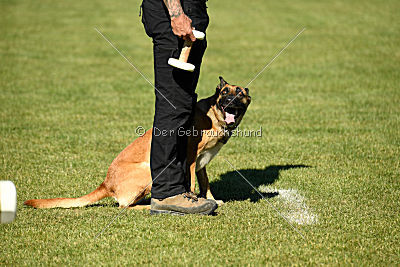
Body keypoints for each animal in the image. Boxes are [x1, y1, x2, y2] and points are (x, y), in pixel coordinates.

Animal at [24, 76, 250, 210]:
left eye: (240, 93)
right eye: (224, 93)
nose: (229, 102)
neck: (214, 115)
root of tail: (106, 183)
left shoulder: (202, 163)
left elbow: (205, 183)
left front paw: (212, 199)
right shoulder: (191, 159)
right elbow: (193, 184)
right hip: (148, 170)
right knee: (126, 207)